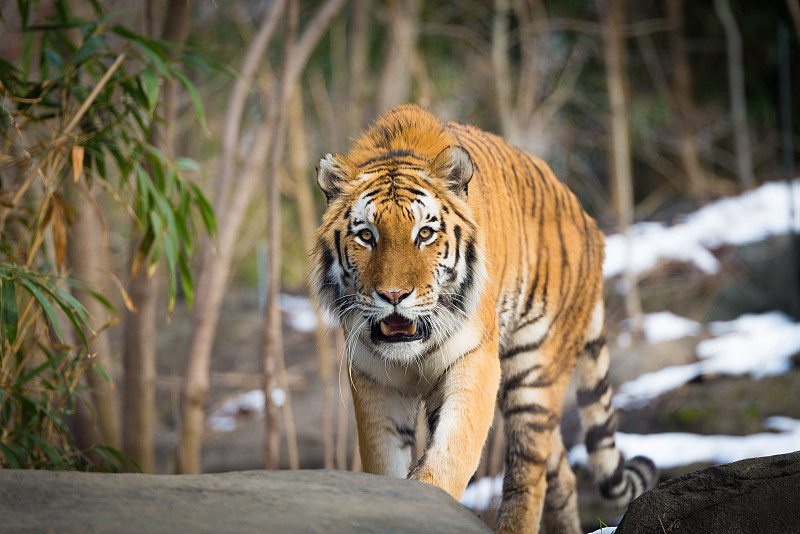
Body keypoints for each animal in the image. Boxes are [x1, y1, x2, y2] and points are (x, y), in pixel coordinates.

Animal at [308, 105, 656, 534]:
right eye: (367, 236)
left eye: (424, 234)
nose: (393, 296)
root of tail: (591, 225)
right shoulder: (375, 380)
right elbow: (385, 464)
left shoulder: (474, 359)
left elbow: (451, 455)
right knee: (560, 471)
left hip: (534, 370)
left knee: (529, 471)